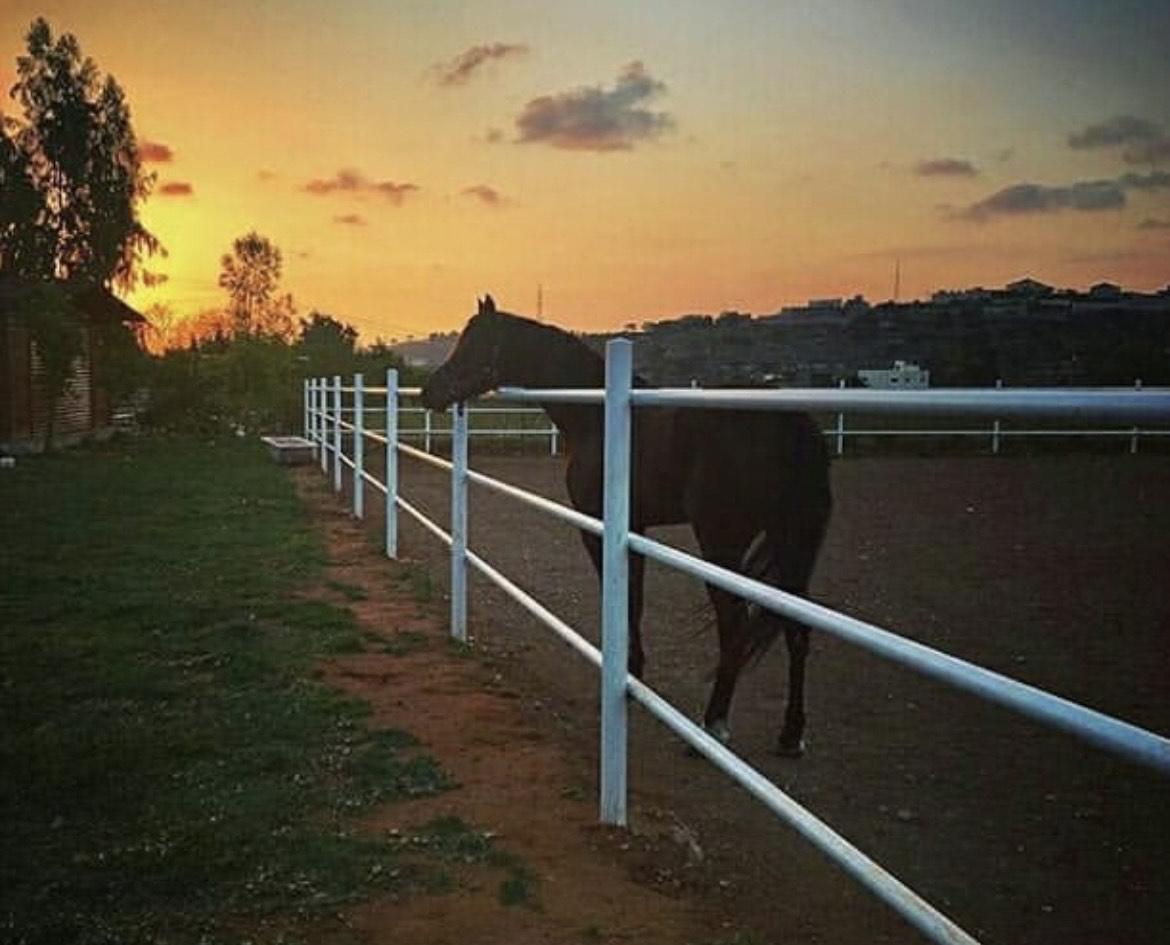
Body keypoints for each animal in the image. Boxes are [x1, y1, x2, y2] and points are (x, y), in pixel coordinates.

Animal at [421, 294, 833, 753]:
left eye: (474, 343)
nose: (428, 391)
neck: (596, 418)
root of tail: (791, 426)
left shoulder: (598, 527)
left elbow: (624, 597)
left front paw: (628, 675)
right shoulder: (636, 528)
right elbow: (634, 596)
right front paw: (634, 672)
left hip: (722, 541)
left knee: (735, 626)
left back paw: (712, 726)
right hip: (787, 541)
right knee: (797, 627)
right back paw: (790, 734)